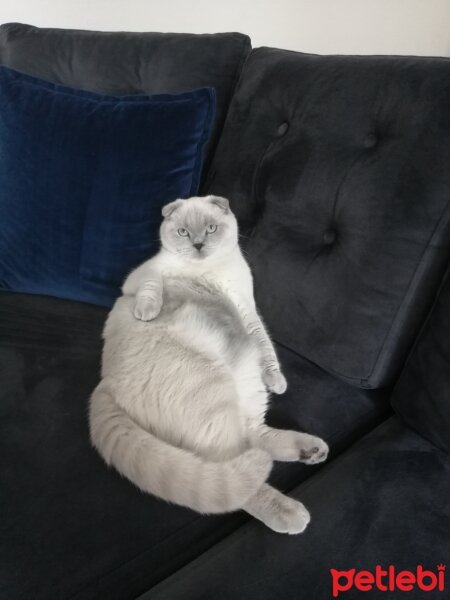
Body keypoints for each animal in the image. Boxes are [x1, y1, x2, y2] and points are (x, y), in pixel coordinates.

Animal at [89, 195, 326, 532]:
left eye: (211, 228)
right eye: (184, 232)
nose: (199, 244)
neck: (209, 271)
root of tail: (104, 384)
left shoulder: (247, 311)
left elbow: (265, 345)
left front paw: (278, 382)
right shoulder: (141, 276)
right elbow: (151, 286)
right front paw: (146, 312)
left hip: (242, 379)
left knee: (253, 438)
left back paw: (312, 450)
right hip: (213, 387)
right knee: (236, 476)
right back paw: (292, 513)